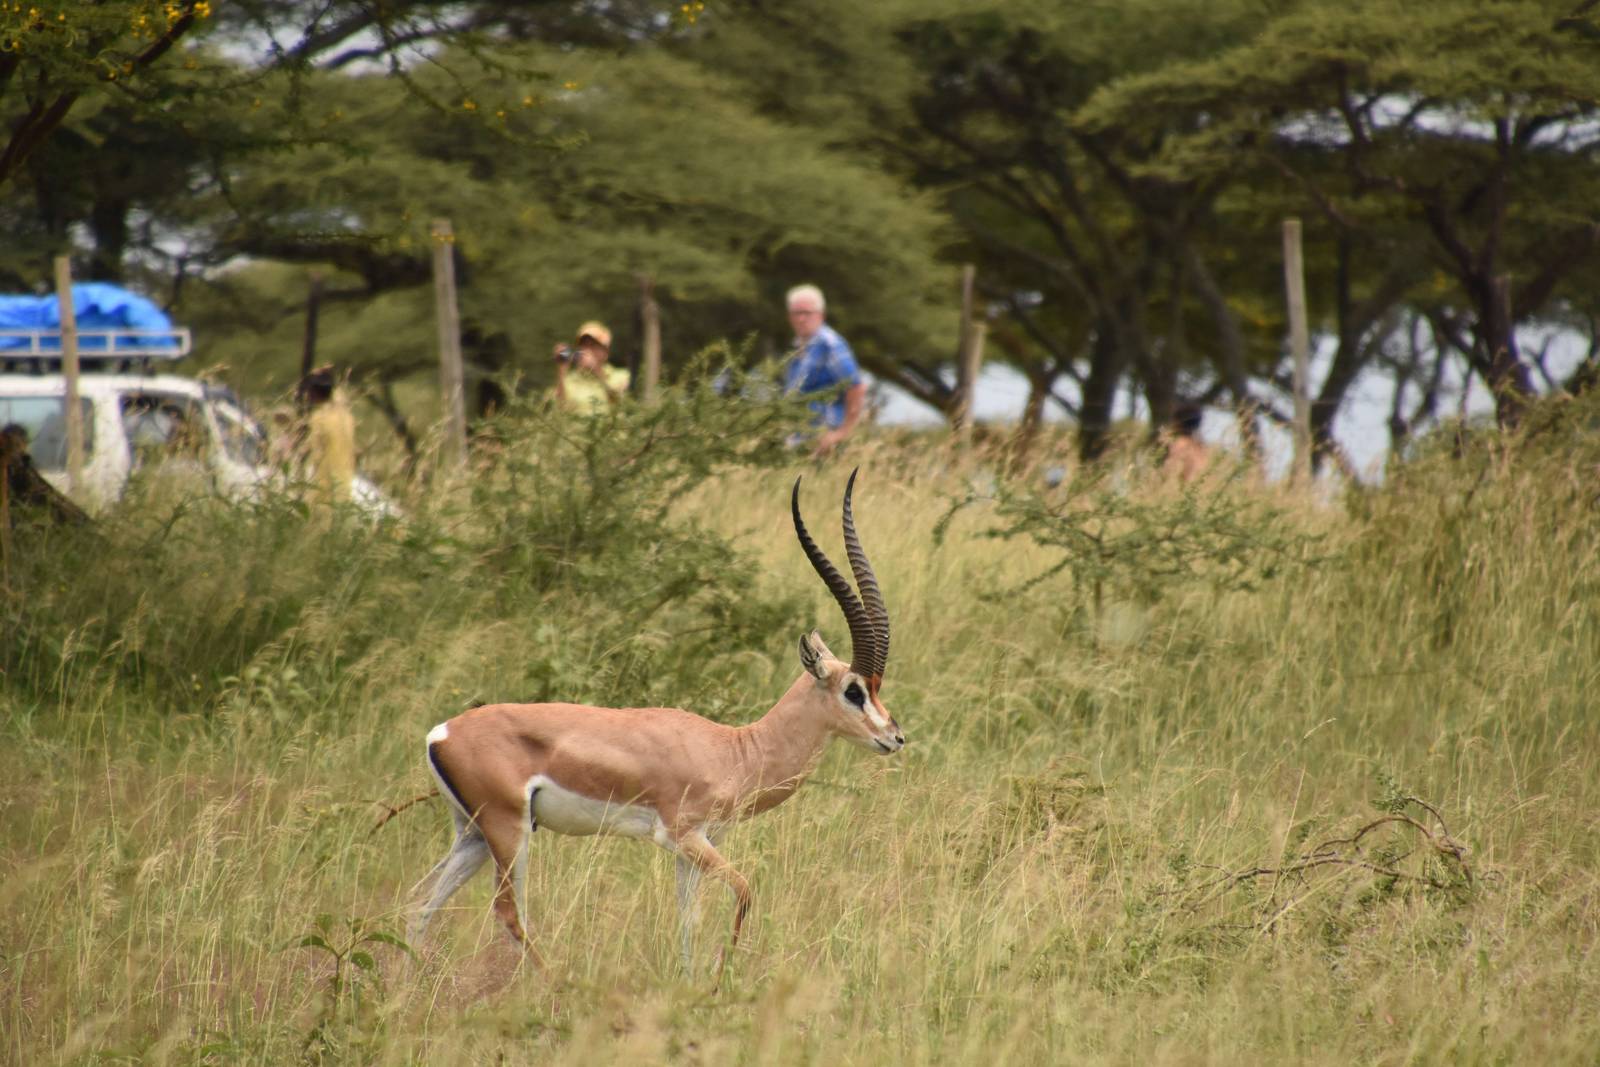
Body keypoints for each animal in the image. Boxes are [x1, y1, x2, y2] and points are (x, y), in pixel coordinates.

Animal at [408, 470, 901, 984]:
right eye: (853, 691)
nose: (894, 737)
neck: (733, 749)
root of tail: (441, 733)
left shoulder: (696, 849)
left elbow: (689, 922)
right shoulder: (683, 837)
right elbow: (744, 891)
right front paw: (719, 981)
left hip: (473, 835)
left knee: (419, 903)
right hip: (509, 831)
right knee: (507, 912)